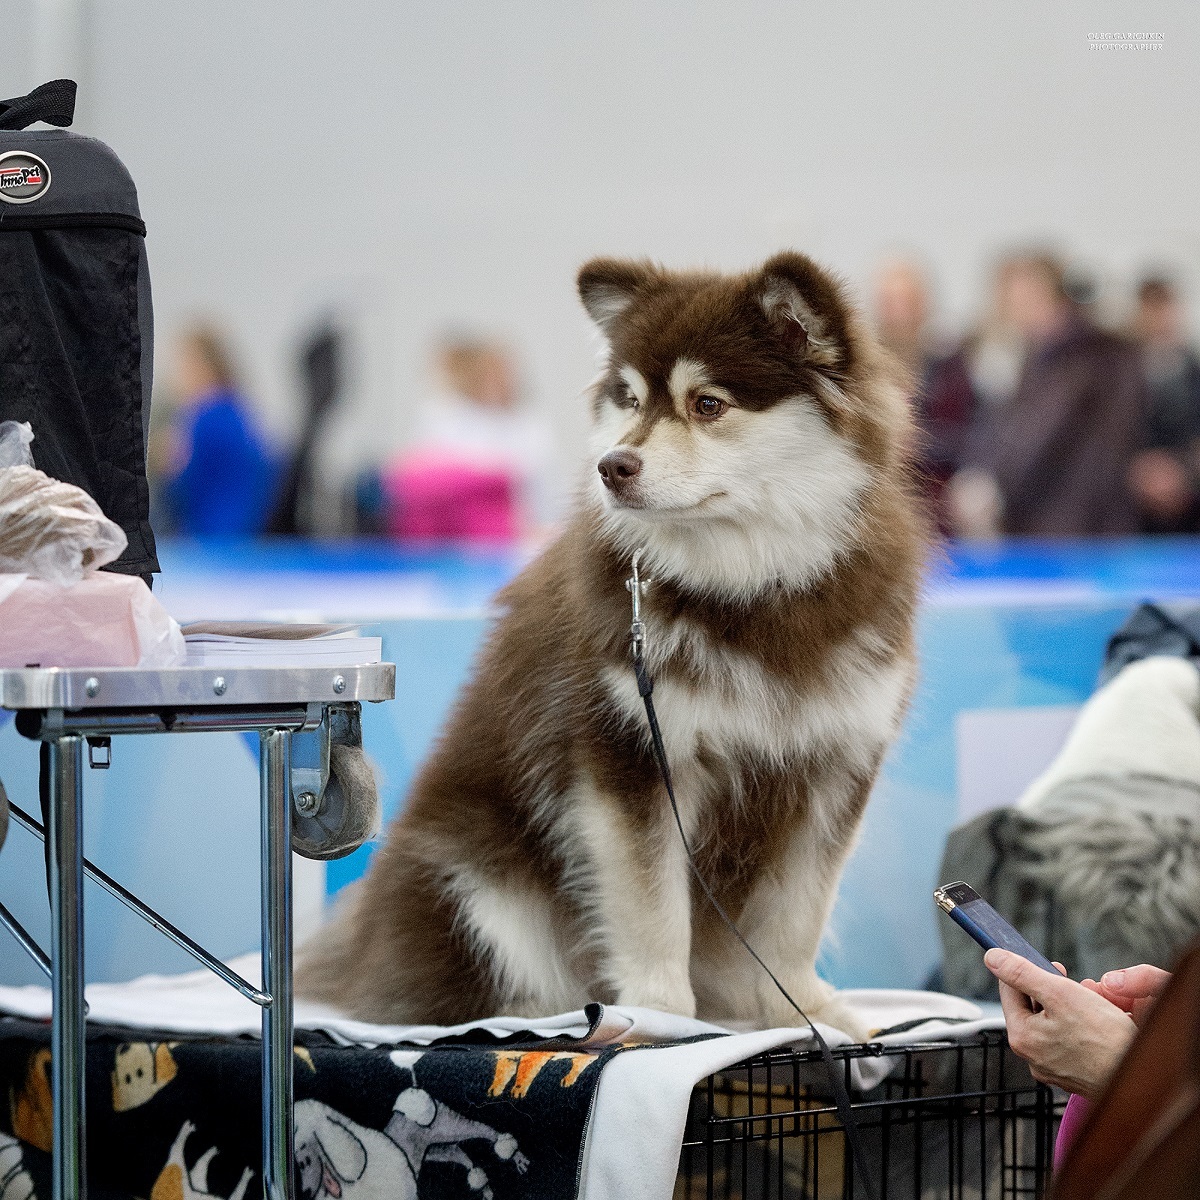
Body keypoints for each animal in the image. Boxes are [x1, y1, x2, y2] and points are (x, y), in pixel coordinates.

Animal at [295, 248, 921, 1036]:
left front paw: (805, 1011)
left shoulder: (831, 765)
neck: (750, 587)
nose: (613, 466)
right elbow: (653, 911)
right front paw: (662, 1017)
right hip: (471, 873)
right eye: (628, 399)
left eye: (707, 404)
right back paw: (543, 1012)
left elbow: (795, 917)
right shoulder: (632, 758)